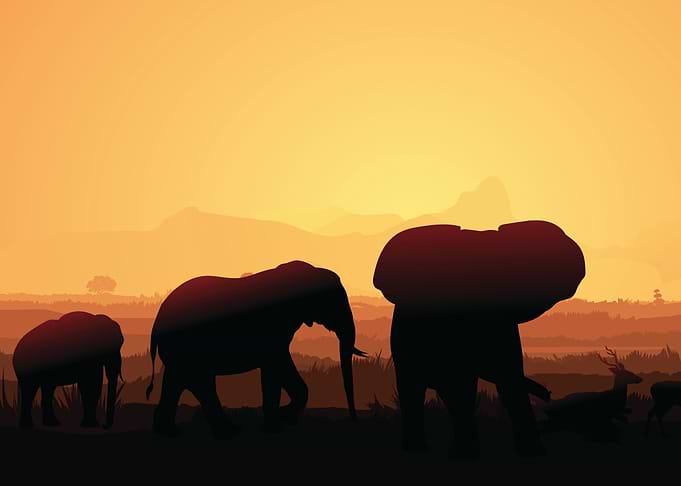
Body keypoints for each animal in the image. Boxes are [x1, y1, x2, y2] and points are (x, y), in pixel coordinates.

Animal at [146, 260, 366, 438]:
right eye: (333, 301)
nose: (354, 420)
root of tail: (156, 323)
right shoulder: (272, 327)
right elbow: (275, 365)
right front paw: (279, 423)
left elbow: (279, 367)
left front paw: (284, 419)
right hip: (188, 346)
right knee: (199, 382)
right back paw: (228, 432)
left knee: (178, 381)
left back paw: (168, 432)